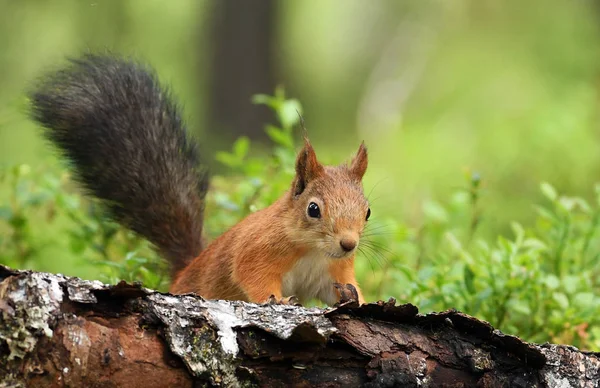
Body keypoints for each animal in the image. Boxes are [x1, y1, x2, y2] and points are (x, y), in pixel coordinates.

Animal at [29, 53, 370, 306]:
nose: (349, 244)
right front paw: (278, 300)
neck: (313, 250)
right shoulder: (256, 250)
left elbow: (342, 288)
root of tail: (184, 272)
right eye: (313, 209)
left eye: (367, 212)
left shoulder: (333, 271)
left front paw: (357, 299)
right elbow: (252, 276)